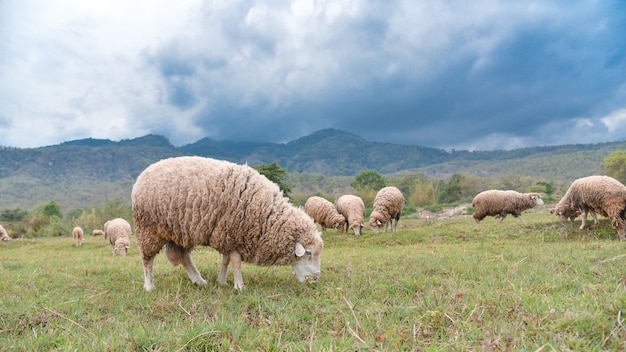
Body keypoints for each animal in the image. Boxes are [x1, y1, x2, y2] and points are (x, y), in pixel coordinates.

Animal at [130, 157, 324, 292]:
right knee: (147, 259)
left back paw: (199, 281)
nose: (316, 280)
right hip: (148, 228)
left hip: (180, 231)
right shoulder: (232, 231)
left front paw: (221, 281)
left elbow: (226, 260)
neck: (266, 215)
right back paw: (149, 286)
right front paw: (239, 286)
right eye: (308, 253)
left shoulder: (228, 235)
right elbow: (236, 261)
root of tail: (142, 176)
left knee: (184, 257)